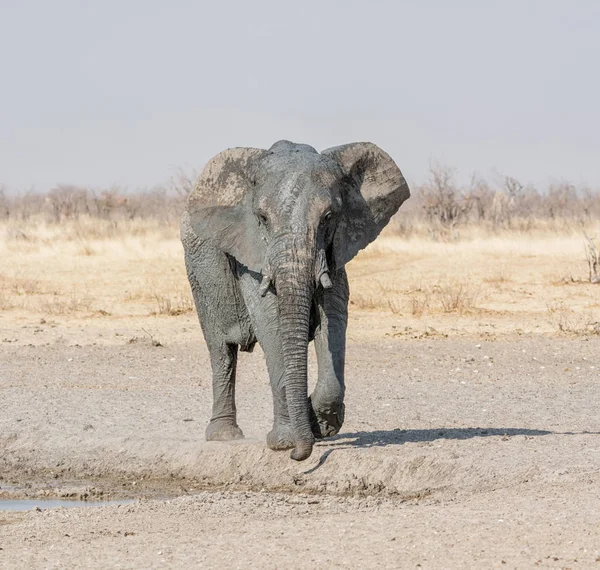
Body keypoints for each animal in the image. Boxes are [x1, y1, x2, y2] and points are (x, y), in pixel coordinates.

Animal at [180, 140, 410, 460]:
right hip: (200, 275)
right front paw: (285, 443)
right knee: (221, 350)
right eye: (262, 219)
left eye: (328, 217)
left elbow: (334, 317)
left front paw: (320, 425)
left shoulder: (334, 250)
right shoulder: (253, 254)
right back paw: (223, 435)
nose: (298, 455)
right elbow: (271, 321)